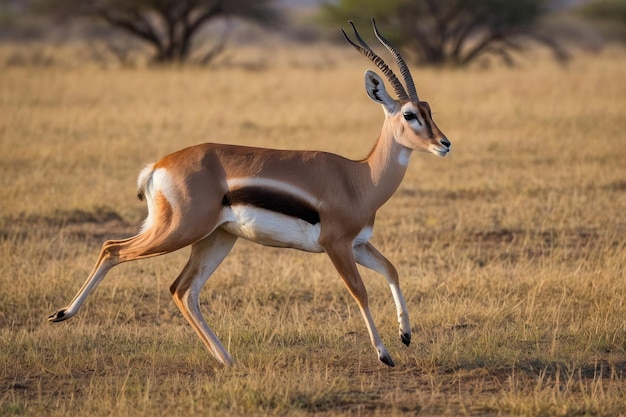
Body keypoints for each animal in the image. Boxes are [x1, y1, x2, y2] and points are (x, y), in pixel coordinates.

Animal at [48, 19, 448, 366]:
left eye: (428, 109)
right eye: (410, 115)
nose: (444, 144)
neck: (358, 178)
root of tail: (159, 166)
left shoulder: (359, 244)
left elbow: (392, 270)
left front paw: (406, 335)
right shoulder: (336, 245)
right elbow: (360, 291)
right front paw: (385, 354)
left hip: (215, 238)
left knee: (183, 289)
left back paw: (227, 359)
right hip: (178, 232)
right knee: (112, 248)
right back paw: (62, 314)